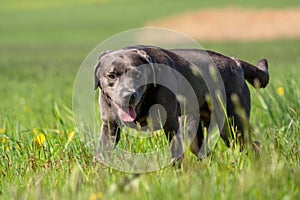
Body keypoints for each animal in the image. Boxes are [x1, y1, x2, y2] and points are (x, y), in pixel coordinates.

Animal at [94, 45, 270, 164]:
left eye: (138, 74)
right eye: (111, 75)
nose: (128, 95)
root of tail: (235, 62)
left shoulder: (171, 124)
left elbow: (175, 156)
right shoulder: (110, 126)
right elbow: (102, 154)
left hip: (232, 125)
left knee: (253, 145)